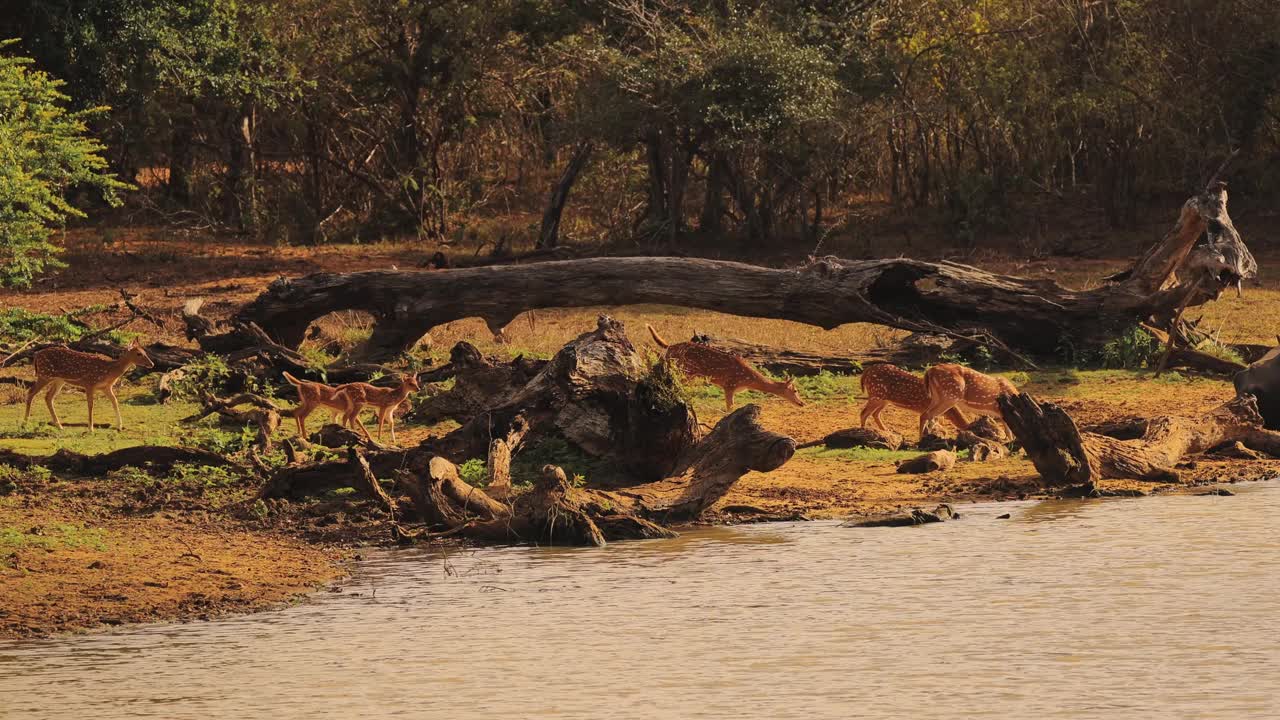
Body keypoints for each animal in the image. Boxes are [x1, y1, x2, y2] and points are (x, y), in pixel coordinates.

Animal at [23, 338, 154, 427]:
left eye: (145, 351)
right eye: (139, 353)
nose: (152, 364)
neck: (110, 371)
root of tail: (36, 356)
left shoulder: (106, 387)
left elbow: (115, 402)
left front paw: (119, 426)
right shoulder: (89, 383)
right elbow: (91, 405)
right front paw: (91, 428)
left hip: (58, 380)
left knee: (48, 397)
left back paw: (59, 425)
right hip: (45, 375)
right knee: (31, 392)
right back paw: (25, 422)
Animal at [645, 324, 803, 409]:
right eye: (795, 390)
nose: (802, 403)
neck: (747, 380)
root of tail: (669, 346)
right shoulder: (729, 385)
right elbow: (730, 409)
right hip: (684, 370)